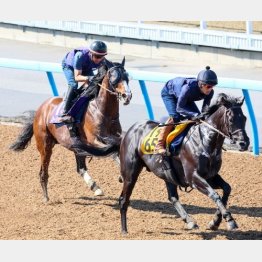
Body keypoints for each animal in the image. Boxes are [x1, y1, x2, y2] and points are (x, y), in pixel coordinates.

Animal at [9, 57, 132, 202]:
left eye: (127, 77)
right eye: (114, 78)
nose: (127, 96)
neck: (103, 112)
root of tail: (41, 109)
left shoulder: (106, 138)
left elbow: (117, 148)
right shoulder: (93, 141)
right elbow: (112, 152)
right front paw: (121, 175)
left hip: (75, 144)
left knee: (80, 168)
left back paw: (95, 187)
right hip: (45, 145)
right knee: (43, 172)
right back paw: (46, 197)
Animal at [118, 92, 250, 233]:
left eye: (244, 118)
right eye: (231, 119)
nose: (244, 143)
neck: (204, 141)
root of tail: (132, 129)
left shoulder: (211, 176)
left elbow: (227, 189)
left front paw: (215, 221)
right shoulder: (193, 177)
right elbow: (215, 195)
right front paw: (230, 220)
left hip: (167, 174)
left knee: (173, 197)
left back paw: (189, 221)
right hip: (130, 173)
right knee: (124, 199)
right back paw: (124, 230)